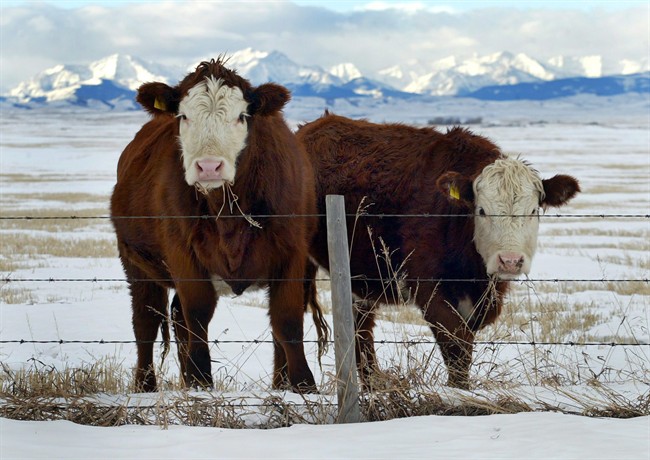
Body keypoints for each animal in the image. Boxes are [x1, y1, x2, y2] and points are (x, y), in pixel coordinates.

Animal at [110, 59, 330, 394]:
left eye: (241, 116)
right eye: (183, 116)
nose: (209, 166)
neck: (227, 214)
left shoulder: (292, 254)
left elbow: (287, 320)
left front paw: (304, 387)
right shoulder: (182, 253)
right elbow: (198, 313)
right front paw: (202, 382)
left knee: (176, 317)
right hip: (135, 263)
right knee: (147, 320)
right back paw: (146, 386)